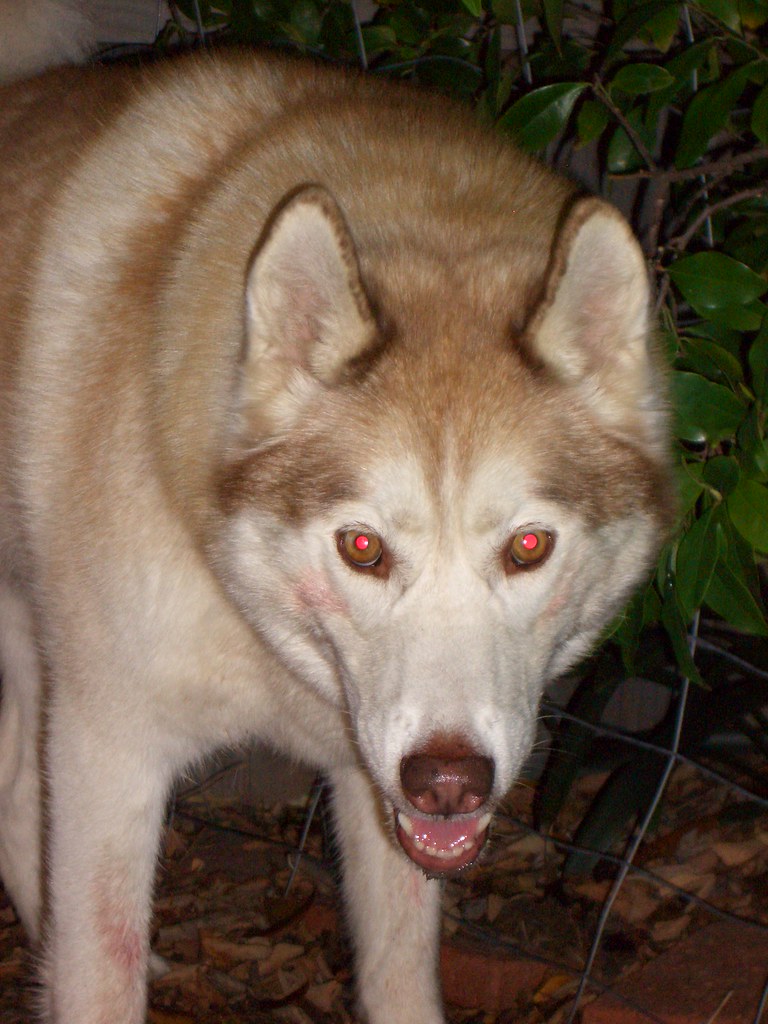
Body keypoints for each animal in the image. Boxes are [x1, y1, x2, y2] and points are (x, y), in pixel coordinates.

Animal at [0, 34, 674, 1024]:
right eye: (363, 546)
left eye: (528, 546)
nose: (449, 781)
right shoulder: (106, 750)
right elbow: (100, 973)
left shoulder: (372, 786)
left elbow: (399, 977)